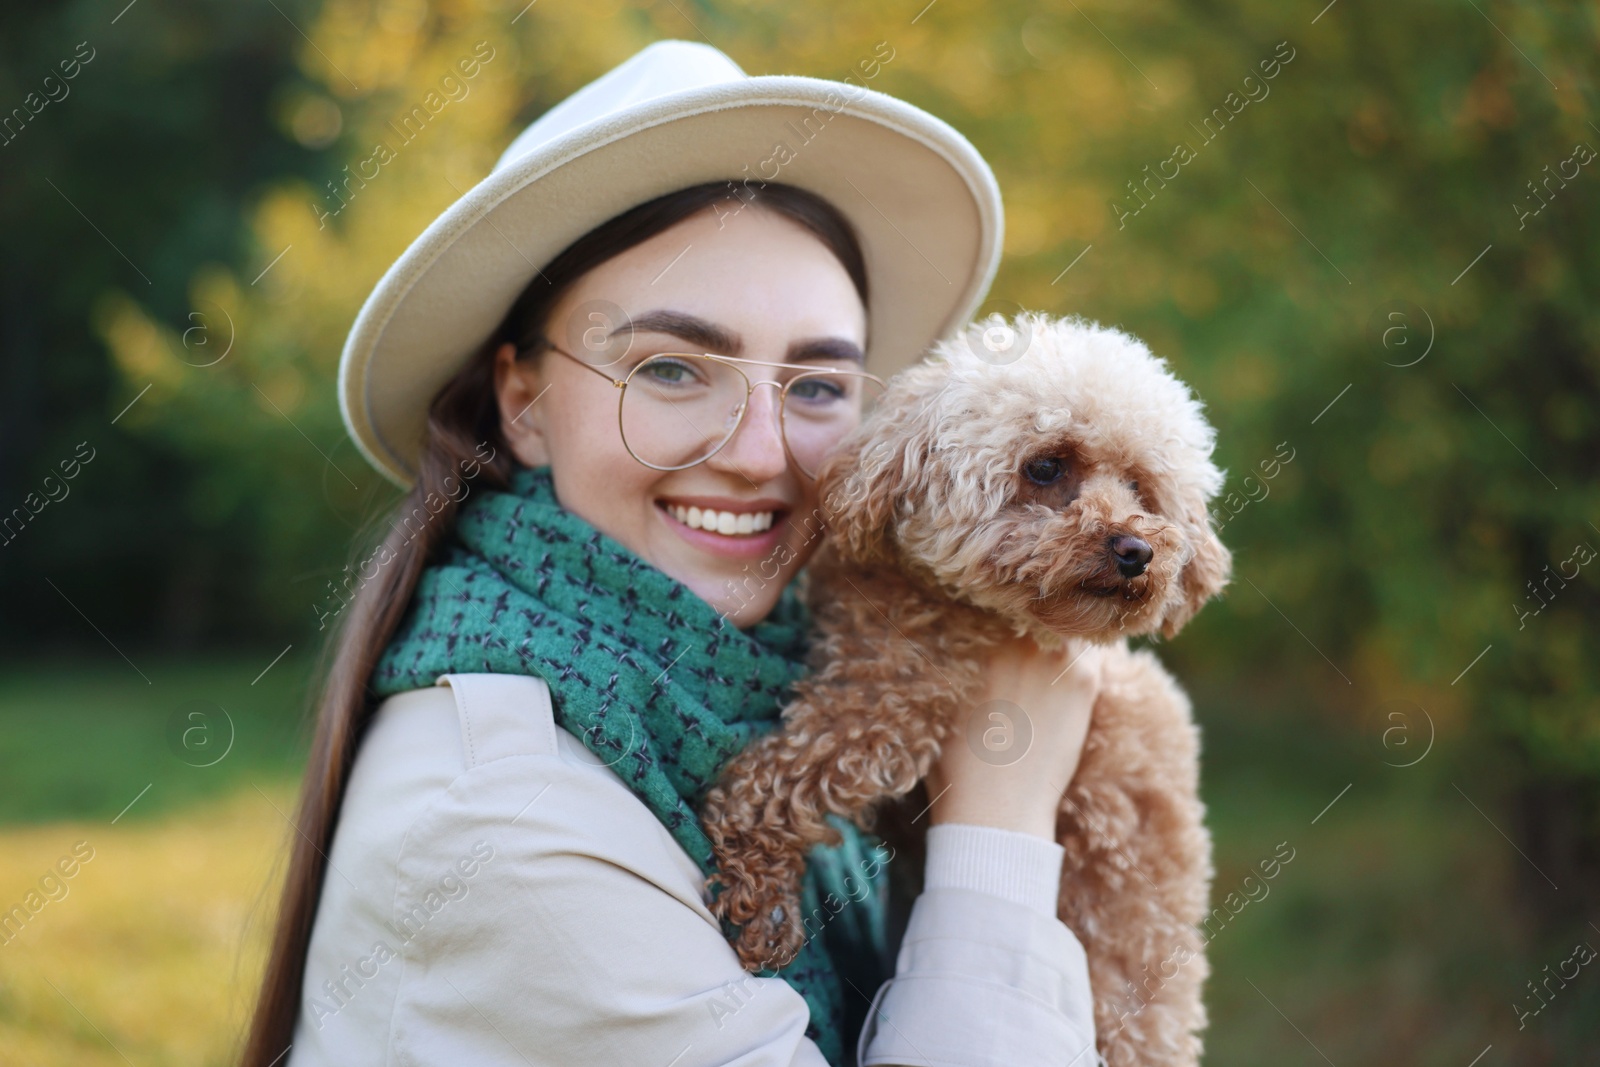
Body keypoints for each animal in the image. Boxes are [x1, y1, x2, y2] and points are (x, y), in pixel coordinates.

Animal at [700, 308, 1235, 1067]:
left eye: (1140, 487)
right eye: (1046, 466)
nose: (1136, 550)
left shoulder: (893, 705)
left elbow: (781, 776)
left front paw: (762, 899)